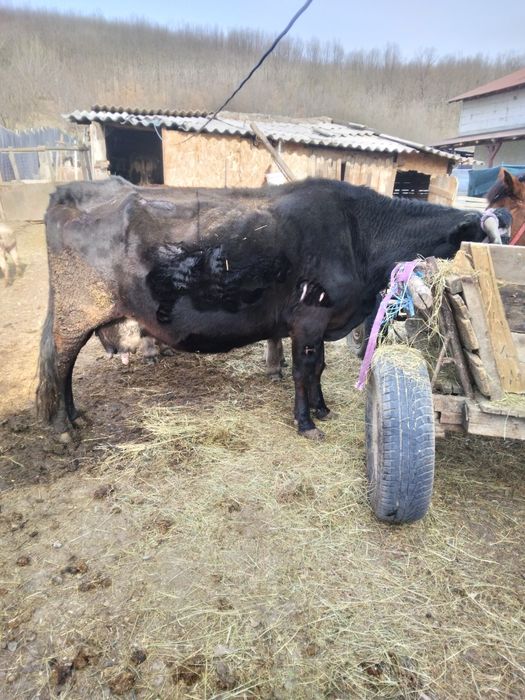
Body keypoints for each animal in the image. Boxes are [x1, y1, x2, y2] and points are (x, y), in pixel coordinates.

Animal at [36, 177, 509, 442]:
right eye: (482, 245)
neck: (359, 234)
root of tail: (69, 191)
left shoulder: (321, 322)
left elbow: (318, 368)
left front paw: (322, 408)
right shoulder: (308, 318)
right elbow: (303, 370)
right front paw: (306, 422)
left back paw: (75, 416)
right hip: (78, 310)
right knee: (60, 362)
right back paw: (62, 429)